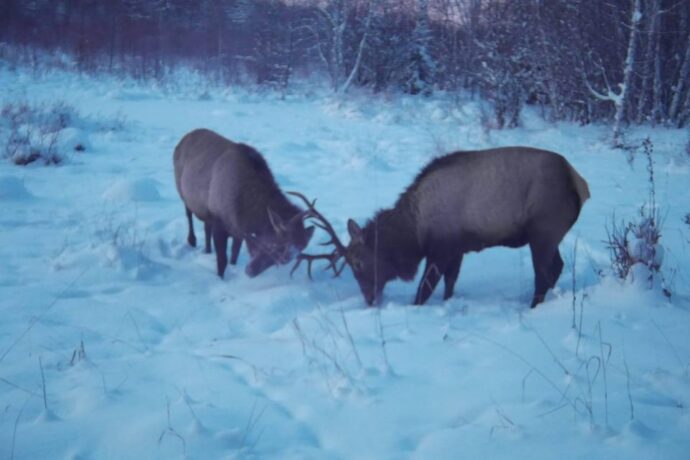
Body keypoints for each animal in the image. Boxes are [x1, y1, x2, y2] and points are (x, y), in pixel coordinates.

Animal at [173, 128, 314, 276]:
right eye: (276, 246)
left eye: (287, 258)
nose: (250, 271)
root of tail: (184, 137)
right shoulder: (219, 222)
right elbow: (222, 262)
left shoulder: (238, 231)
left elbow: (233, 257)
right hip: (182, 191)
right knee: (189, 214)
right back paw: (192, 240)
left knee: (206, 228)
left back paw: (207, 250)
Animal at [292, 146, 588, 308]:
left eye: (358, 262)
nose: (369, 298)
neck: (414, 232)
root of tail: (578, 184)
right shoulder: (457, 249)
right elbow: (450, 284)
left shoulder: (441, 249)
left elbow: (424, 290)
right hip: (549, 236)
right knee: (557, 267)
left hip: (543, 231)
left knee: (543, 274)